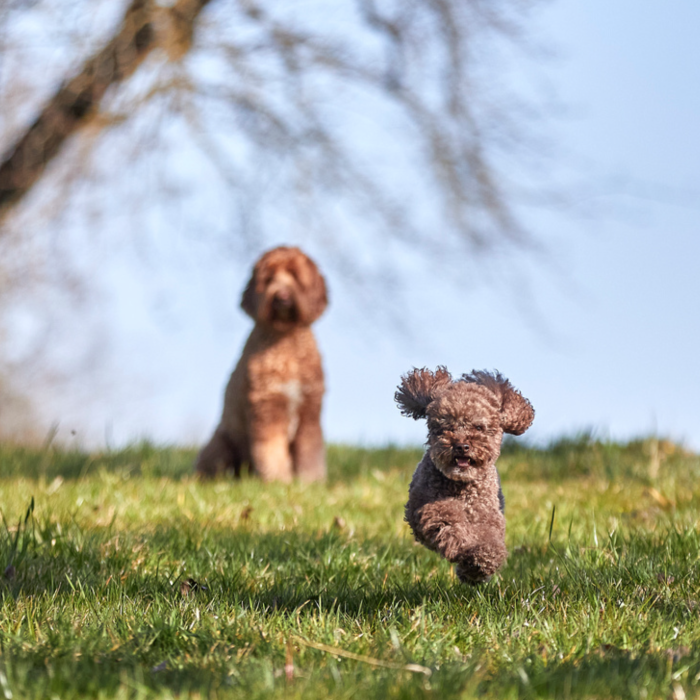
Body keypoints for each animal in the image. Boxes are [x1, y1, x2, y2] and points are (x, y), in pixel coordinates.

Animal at [196, 246, 330, 482]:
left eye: (295, 275)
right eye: (268, 279)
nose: (282, 296)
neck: (285, 339)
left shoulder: (310, 413)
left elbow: (310, 453)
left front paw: (311, 482)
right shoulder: (267, 409)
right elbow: (271, 451)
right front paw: (278, 481)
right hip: (220, 444)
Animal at [394, 370, 536, 584]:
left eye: (478, 427)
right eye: (446, 427)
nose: (461, 446)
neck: (462, 486)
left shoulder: (488, 516)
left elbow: (488, 540)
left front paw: (482, 561)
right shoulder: (432, 508)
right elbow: (450, 524)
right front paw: (464, 548)